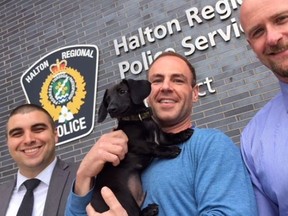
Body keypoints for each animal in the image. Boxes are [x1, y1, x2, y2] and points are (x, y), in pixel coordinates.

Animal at [91, 79, 192, 216]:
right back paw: (149, 210)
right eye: (107, 99)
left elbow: (170, 136)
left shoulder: (160, 136)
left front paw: (183, 133)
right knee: (134, 214)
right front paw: (171, 150)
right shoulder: (135, 143)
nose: (111, 109)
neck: (139, 119)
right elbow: (153, 146)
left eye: (122, 91)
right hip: (122, 196)